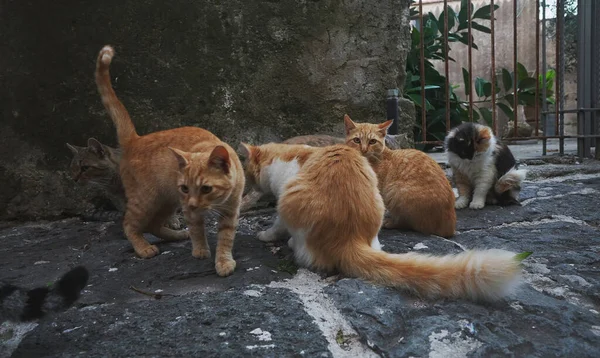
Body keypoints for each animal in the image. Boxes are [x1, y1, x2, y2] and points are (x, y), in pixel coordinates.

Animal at [95, 45, 244, 276]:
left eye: (206, 189)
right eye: (185, 188)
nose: (192, 203)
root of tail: (135, 139)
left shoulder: (230, 212)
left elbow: (226, 239)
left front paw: (223, 261)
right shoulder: (188, 209)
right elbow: (198, 231)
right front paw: (200, 251)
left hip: (166, 201)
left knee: (153, 225)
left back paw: (177, 236)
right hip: (147, 200)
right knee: (129, 224)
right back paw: (143, 248)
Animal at [241, 141, 528, 300]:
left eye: (248, 171)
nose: (247, 186)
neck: (287, 154)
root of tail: (349, 238)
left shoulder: (282, 199)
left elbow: (276, 225)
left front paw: (265, 235)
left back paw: (292, 244)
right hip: (379, 200)